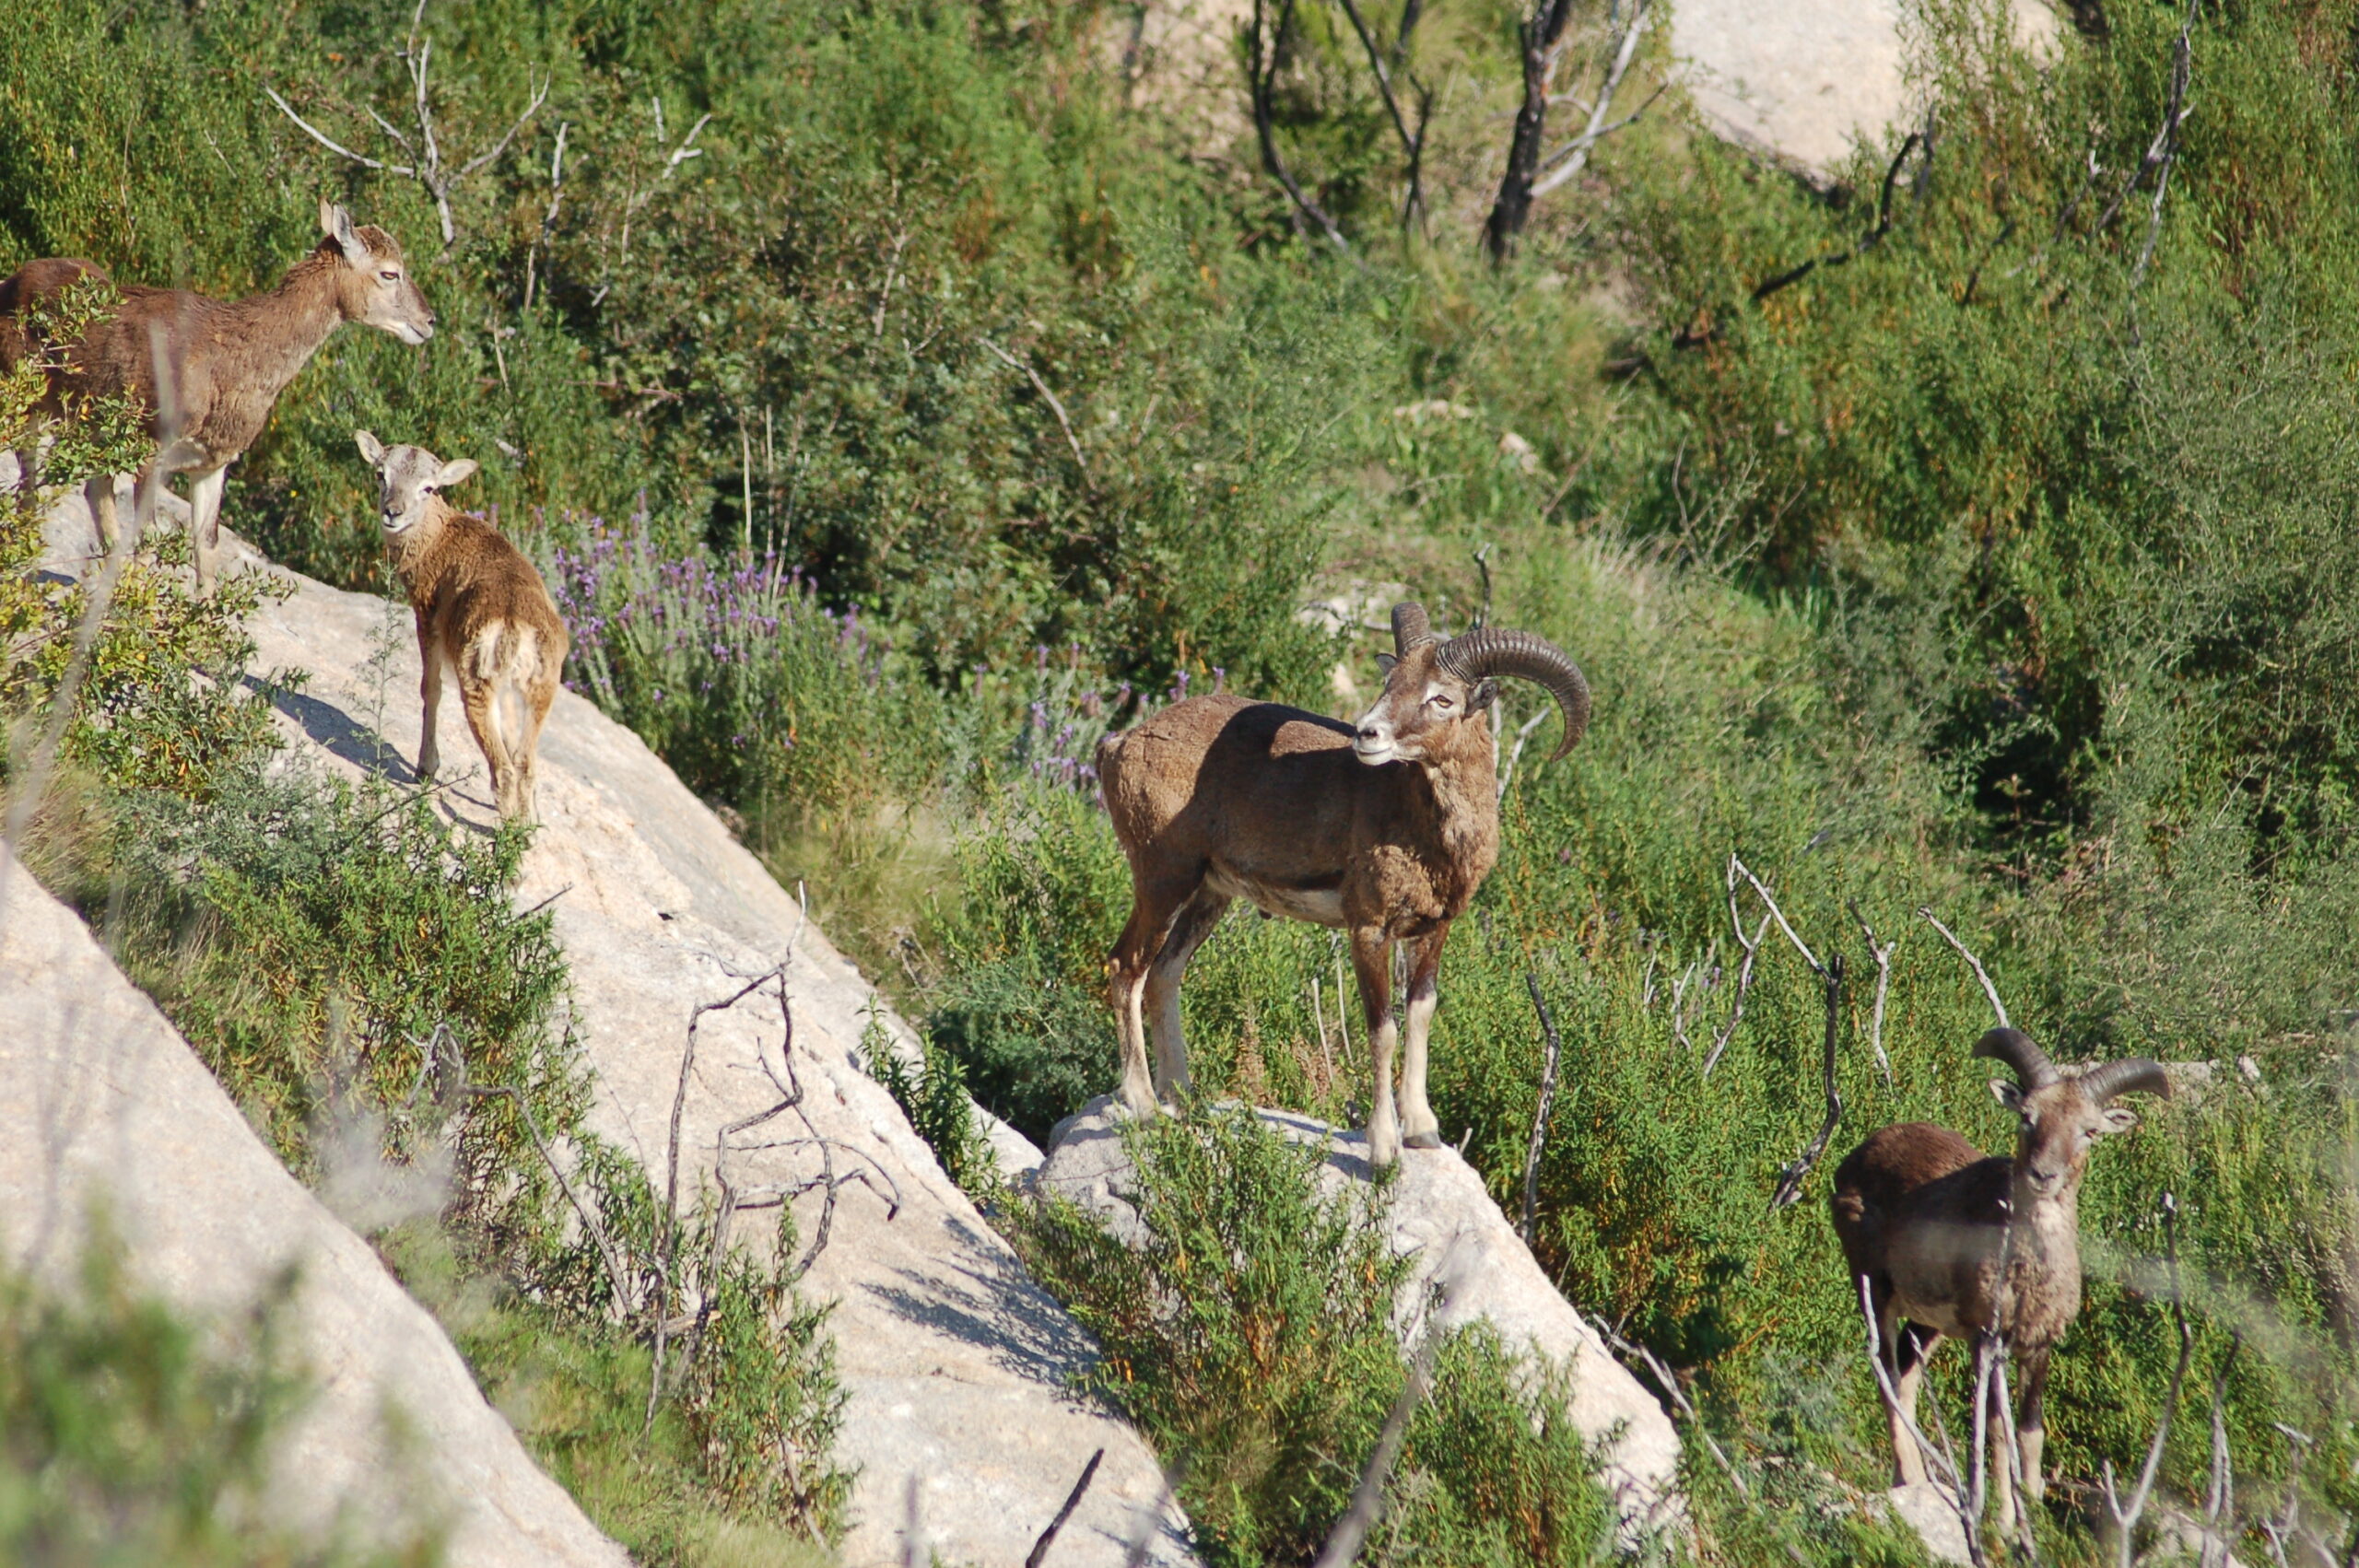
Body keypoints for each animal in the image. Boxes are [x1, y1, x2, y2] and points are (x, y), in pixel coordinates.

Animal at [354, 428, 566, 820]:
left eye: (429, 487)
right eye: (380, 474)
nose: (393, 513)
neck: (437, 539)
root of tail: (517, 630)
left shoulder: (427, 614)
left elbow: (431, 688)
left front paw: (425, 768)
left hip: (476, 676)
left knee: (504, 768)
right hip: (542, 684)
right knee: (525, 761)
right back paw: (529, 825)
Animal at [1094, 599, 1594, 1160]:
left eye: (1442, 698)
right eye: (1389, 681)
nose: (1367, 734)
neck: (1428, 835)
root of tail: (1119, 744)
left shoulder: (1432, 931)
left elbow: (1419, 1015)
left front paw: (1422, 1130)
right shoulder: (1369, 930)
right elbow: (1382, 1029)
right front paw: (1384, 1147)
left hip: (1208, 895)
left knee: (1164, 973)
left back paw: (1183, 1098)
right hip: (1163, 877)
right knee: (1127, 966)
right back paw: (1144, 1104)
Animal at [1830, 1023, 2160, 1518]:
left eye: (2089, 1131)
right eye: (2026, 1116)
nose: (2043, 1175)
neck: (2028, 1272)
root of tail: (1855, 1158)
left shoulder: (2039, 1344)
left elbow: (2030, 1430)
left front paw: (2033, 1504)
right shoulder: (1987, 1340)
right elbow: (1996, 1431)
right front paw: (2004, 1520)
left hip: (1930, 1321)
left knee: (1906, 1370)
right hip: (1875, 1285)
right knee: (1886, 1371)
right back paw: (1910, 1479)